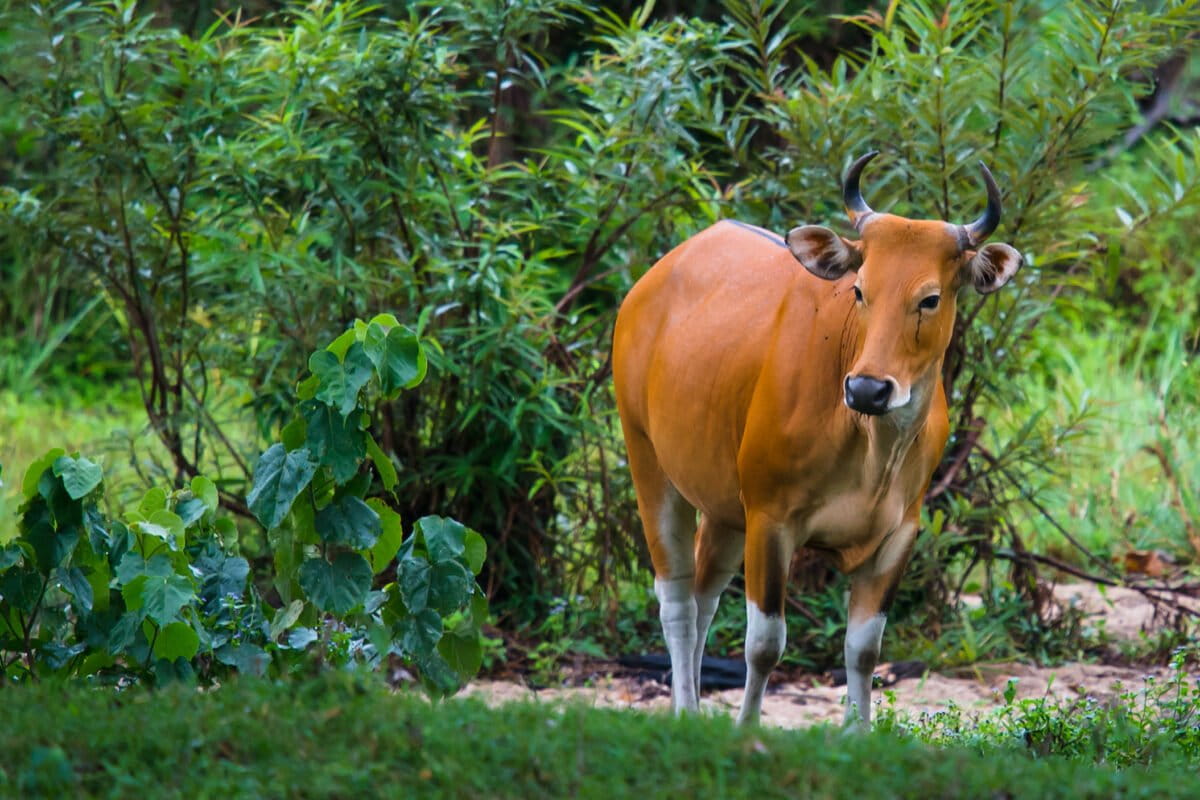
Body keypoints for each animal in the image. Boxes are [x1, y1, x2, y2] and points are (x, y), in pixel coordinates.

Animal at [612, 152, 1023, 726]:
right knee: (675, 599)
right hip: (646, 459)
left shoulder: (900, 534)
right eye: (859, 290)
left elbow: (864, 648)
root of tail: (646, 287)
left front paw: (857, 731)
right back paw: (687, 711)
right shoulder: (770, 519)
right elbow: (765, 644)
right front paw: (746, 728)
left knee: (703, 597)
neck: (871, 451)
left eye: (930, 298)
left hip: (723, 507)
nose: (868, 388)